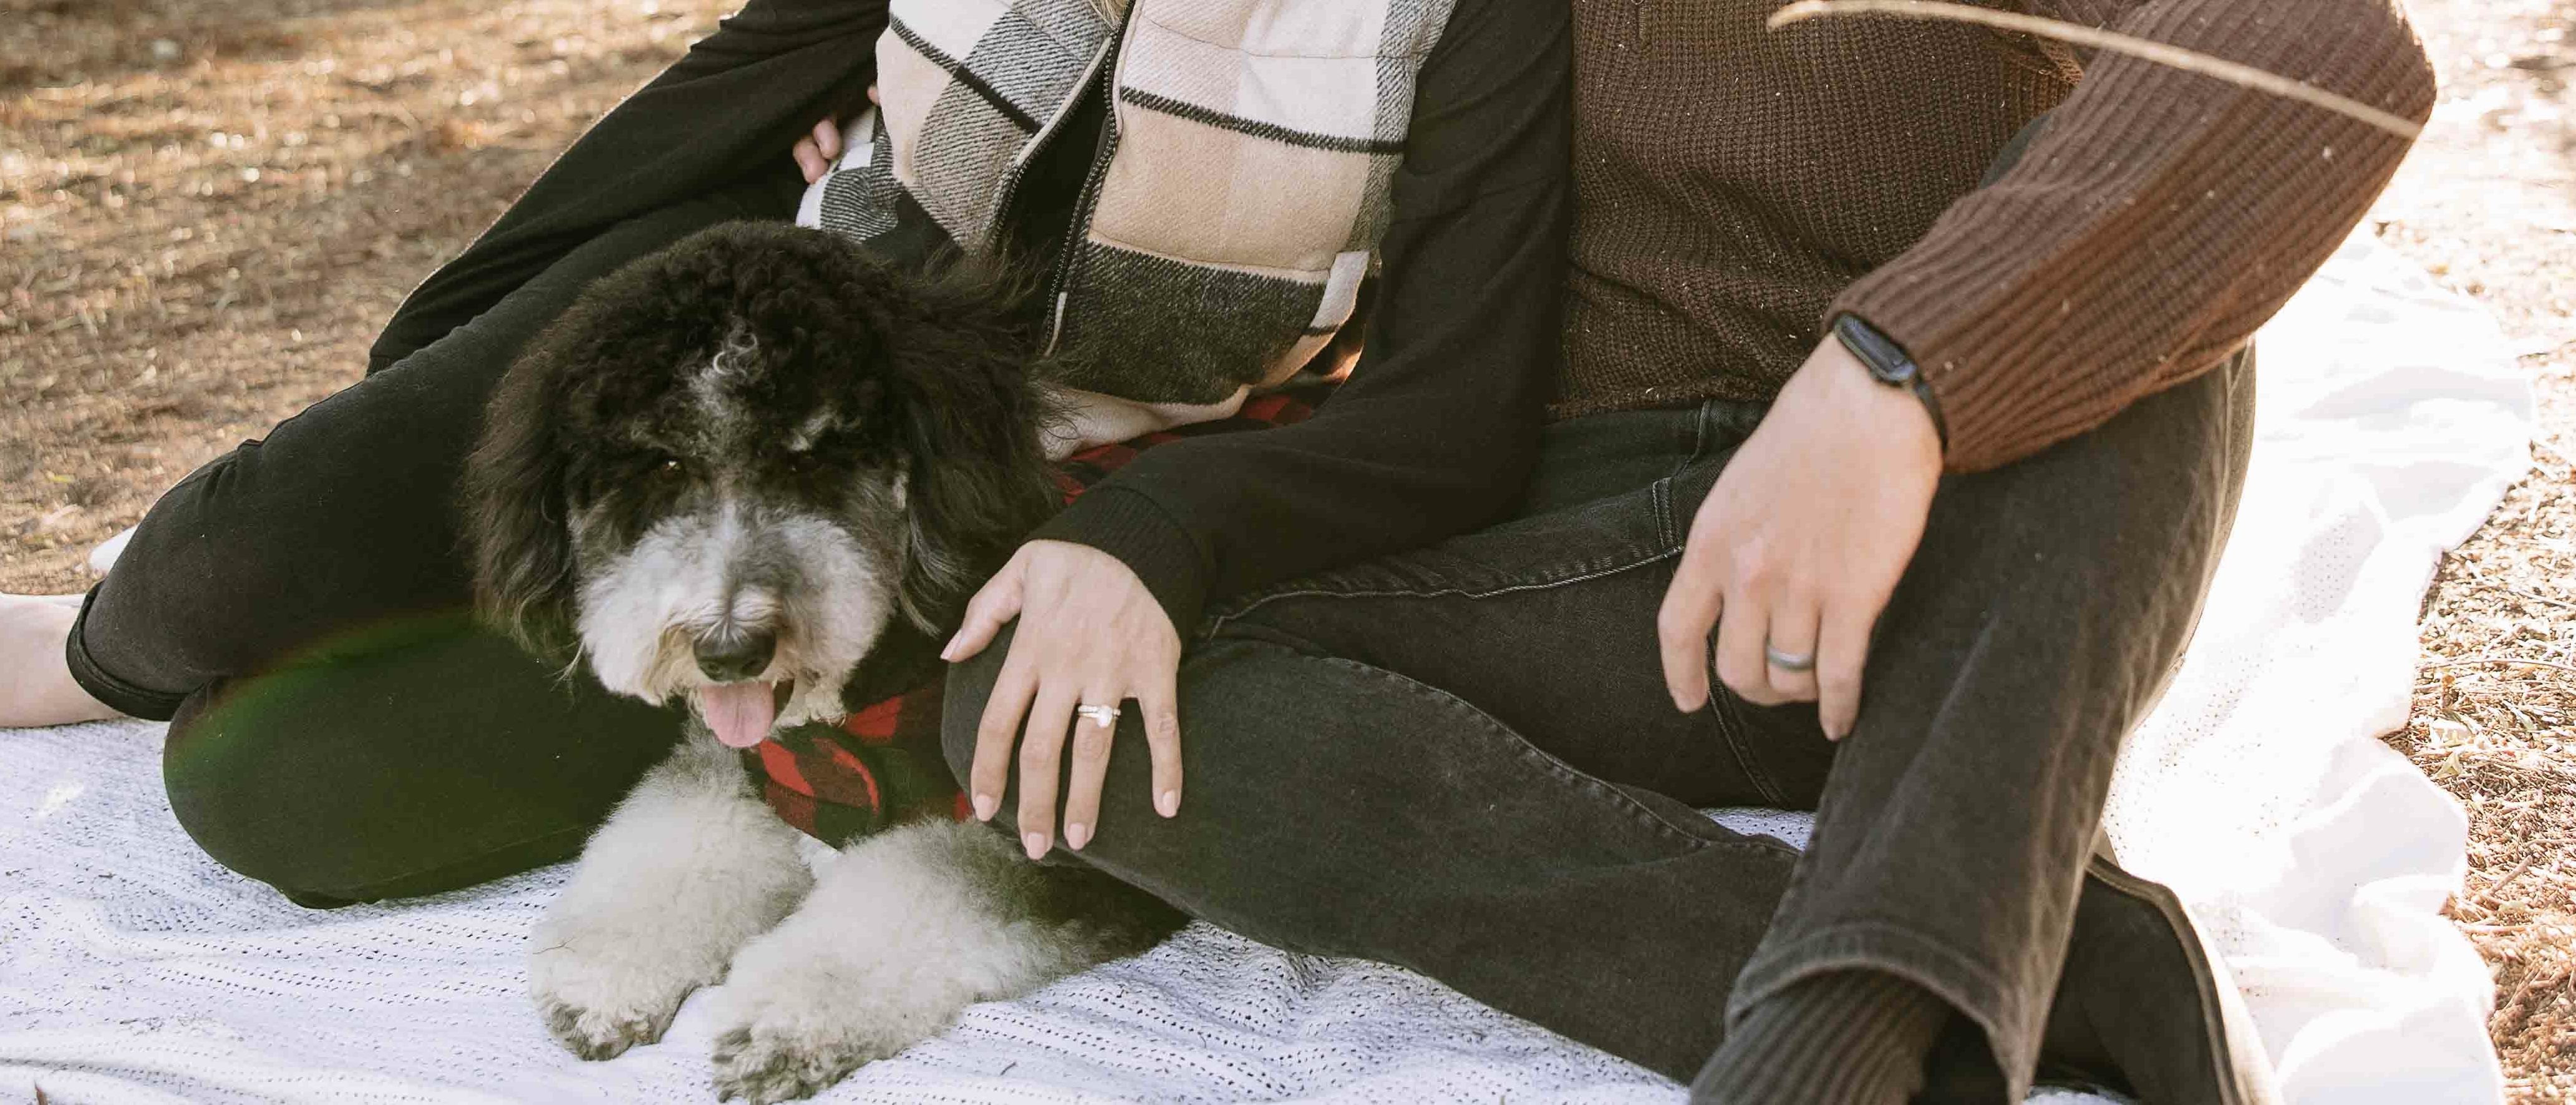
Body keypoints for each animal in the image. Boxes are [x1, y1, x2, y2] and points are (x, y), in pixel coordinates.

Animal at [463, 221, 1186, 1103]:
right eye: (665, 466)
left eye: (810, 459)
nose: (728, 650)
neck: (853, 706)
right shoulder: (743, 772)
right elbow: (675, 847)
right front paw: (601, 980)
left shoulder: (1030, 838)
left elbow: (906, 898)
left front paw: (782, 1020)